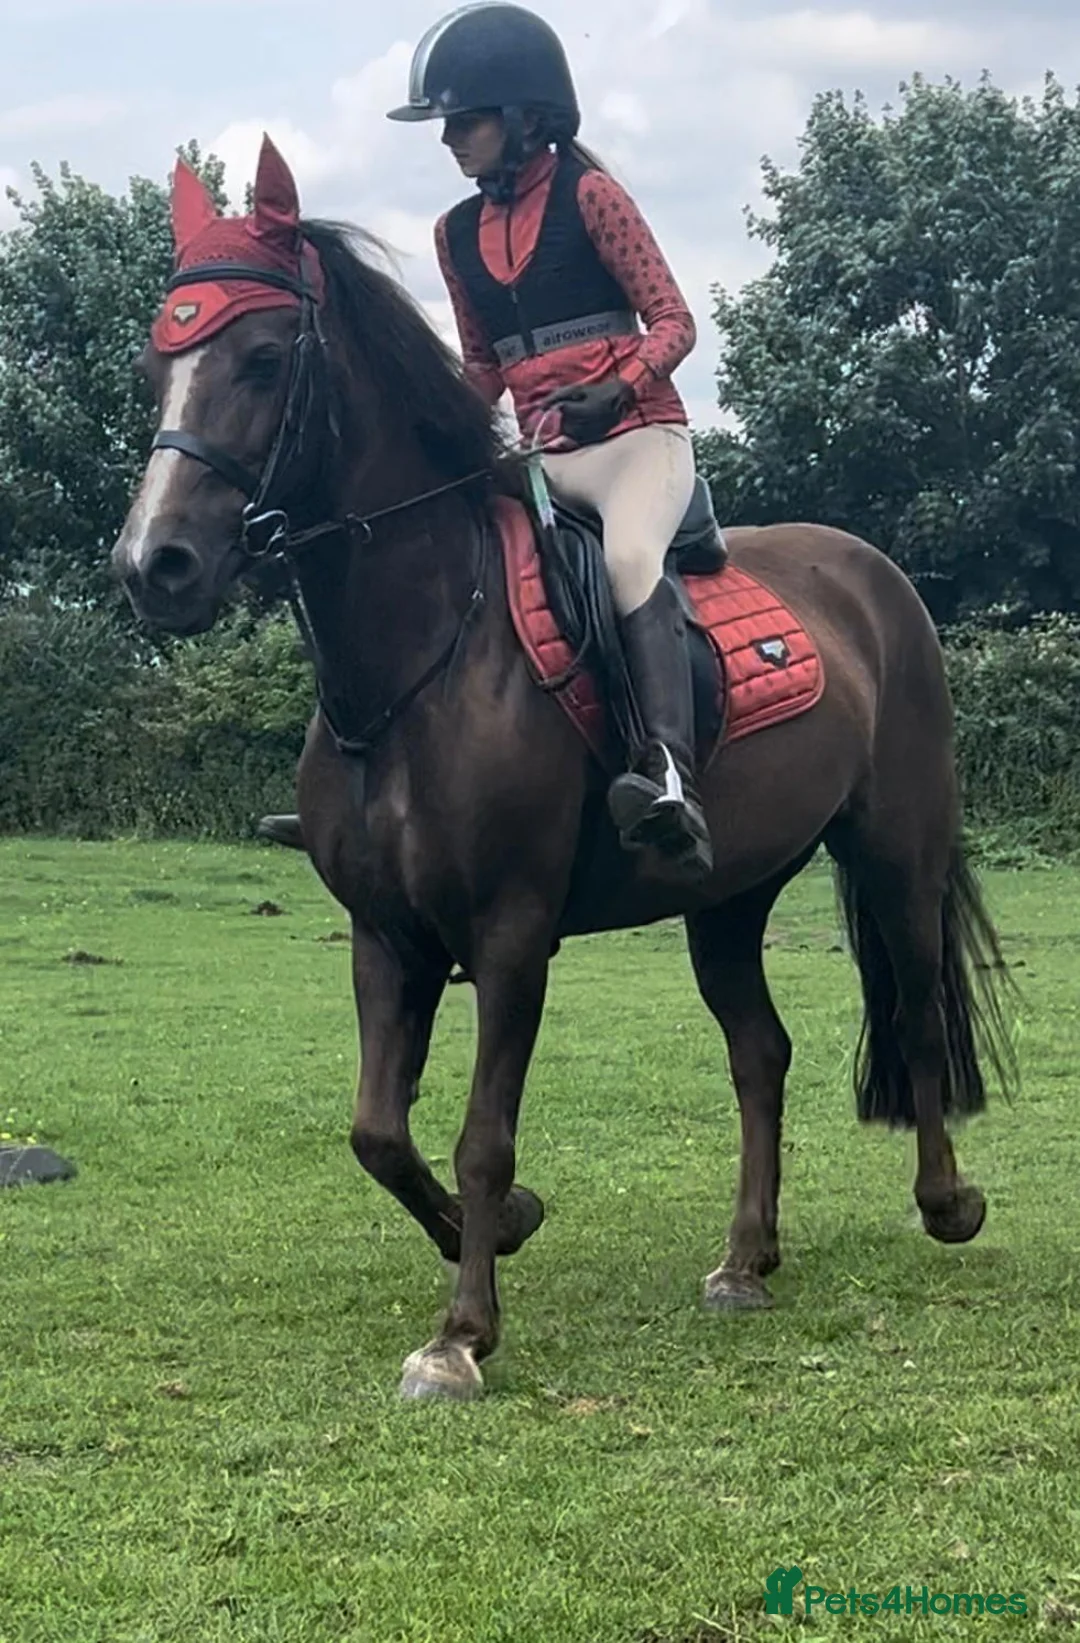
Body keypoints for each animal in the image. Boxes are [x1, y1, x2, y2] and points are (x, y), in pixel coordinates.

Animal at [112, 138, 1015, 1402]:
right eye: (161, 360)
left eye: (261, 356)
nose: (157, 564)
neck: (422, 663)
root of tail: (873, 575)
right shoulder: (387, 934)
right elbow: (377, 1131)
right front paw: (504, 1229)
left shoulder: (510, 932)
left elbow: (480, 1133)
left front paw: (461, 1332)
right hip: (727, 896)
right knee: (761, 1051)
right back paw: (746, 1257)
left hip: (896, 851)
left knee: (920, 1010)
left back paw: (947, 1201)